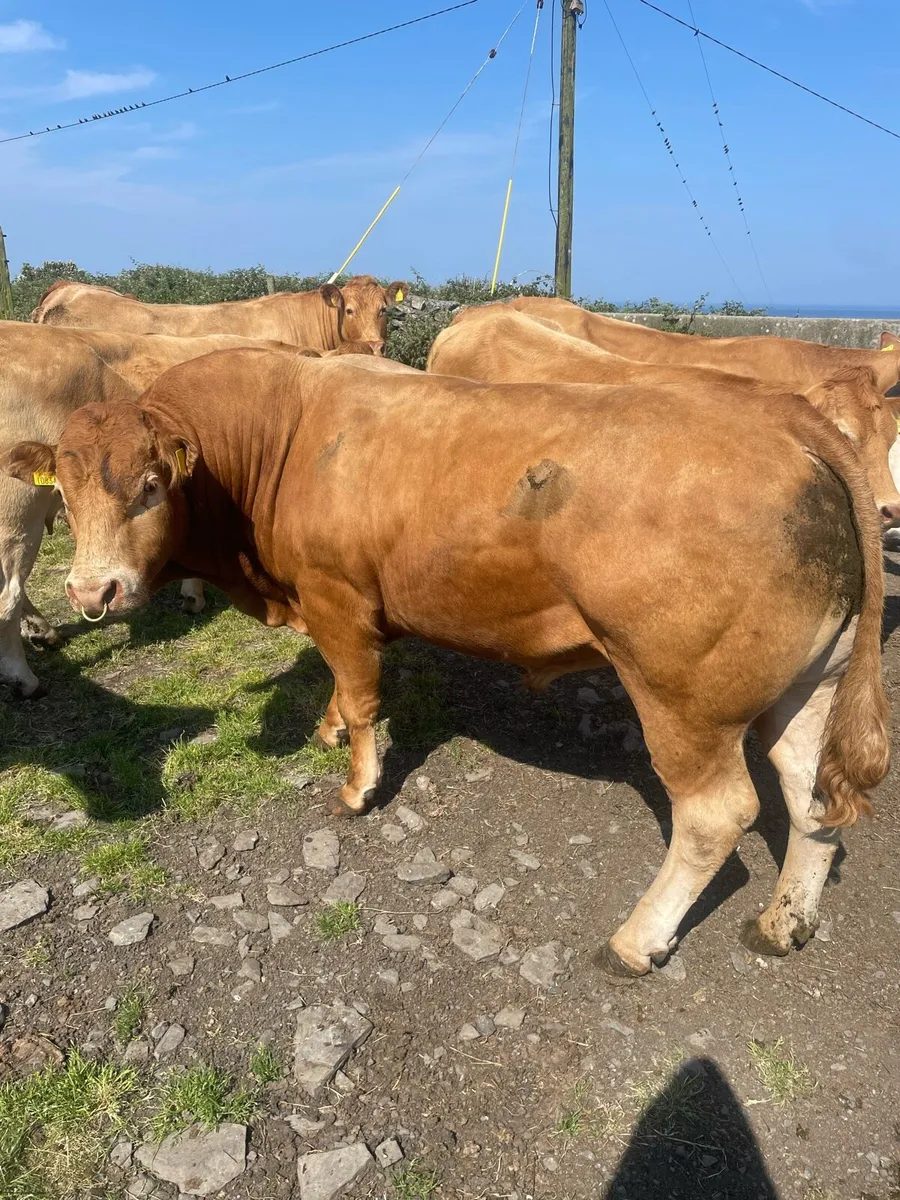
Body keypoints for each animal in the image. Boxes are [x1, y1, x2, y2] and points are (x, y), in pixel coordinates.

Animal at [6, 347, 888, 976]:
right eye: (66, 496)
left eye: (152, 486)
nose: (90, 590)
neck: (287, 432)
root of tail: (785, 416)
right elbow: (339, 685)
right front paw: (327, 726)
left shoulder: (337, 596)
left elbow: (362, 692)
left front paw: (358, 784)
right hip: (809, 683)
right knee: (809, 796)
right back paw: (783, 922)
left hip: (682, 698)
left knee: (714, 815)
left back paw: (637, 939)